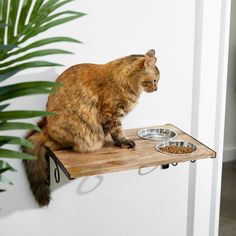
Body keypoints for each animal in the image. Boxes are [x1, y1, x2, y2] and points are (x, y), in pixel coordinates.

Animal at [22, 48, 160, 206]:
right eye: (155, 80)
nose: (157, 88)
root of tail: (45, 129)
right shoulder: (112, 113)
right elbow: (117, 131)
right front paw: (124, 142)